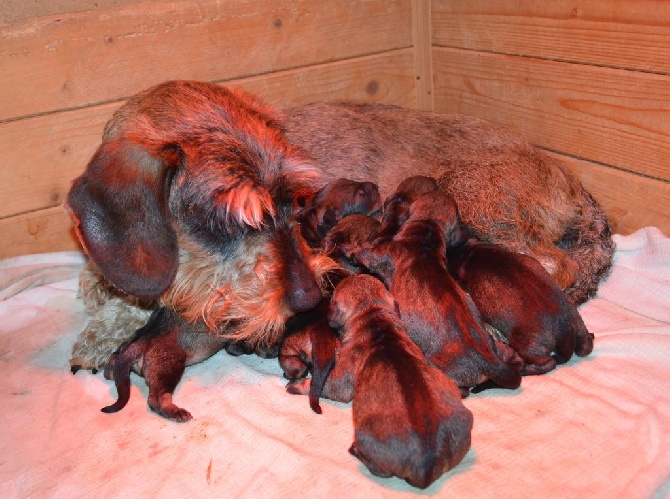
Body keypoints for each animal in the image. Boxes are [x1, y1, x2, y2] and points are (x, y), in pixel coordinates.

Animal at [304, 274, 472, 488]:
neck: (375, 318)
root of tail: (425, 469)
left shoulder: (340, 381)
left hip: (365, 435)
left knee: (378, 469)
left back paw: (355, 451)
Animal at [352, 189, 524, 396]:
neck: (427, 228)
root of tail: (489, 363)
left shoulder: (380, 254)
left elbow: (366, 252)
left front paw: (355, 248)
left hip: (438, 364)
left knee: (462, 390)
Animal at [448, 241, 596, 376]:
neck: (470, 253)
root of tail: (566, 332)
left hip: (527, 346)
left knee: (549, 363)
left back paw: (526, 369)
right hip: (579, 324)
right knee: (585, 345)